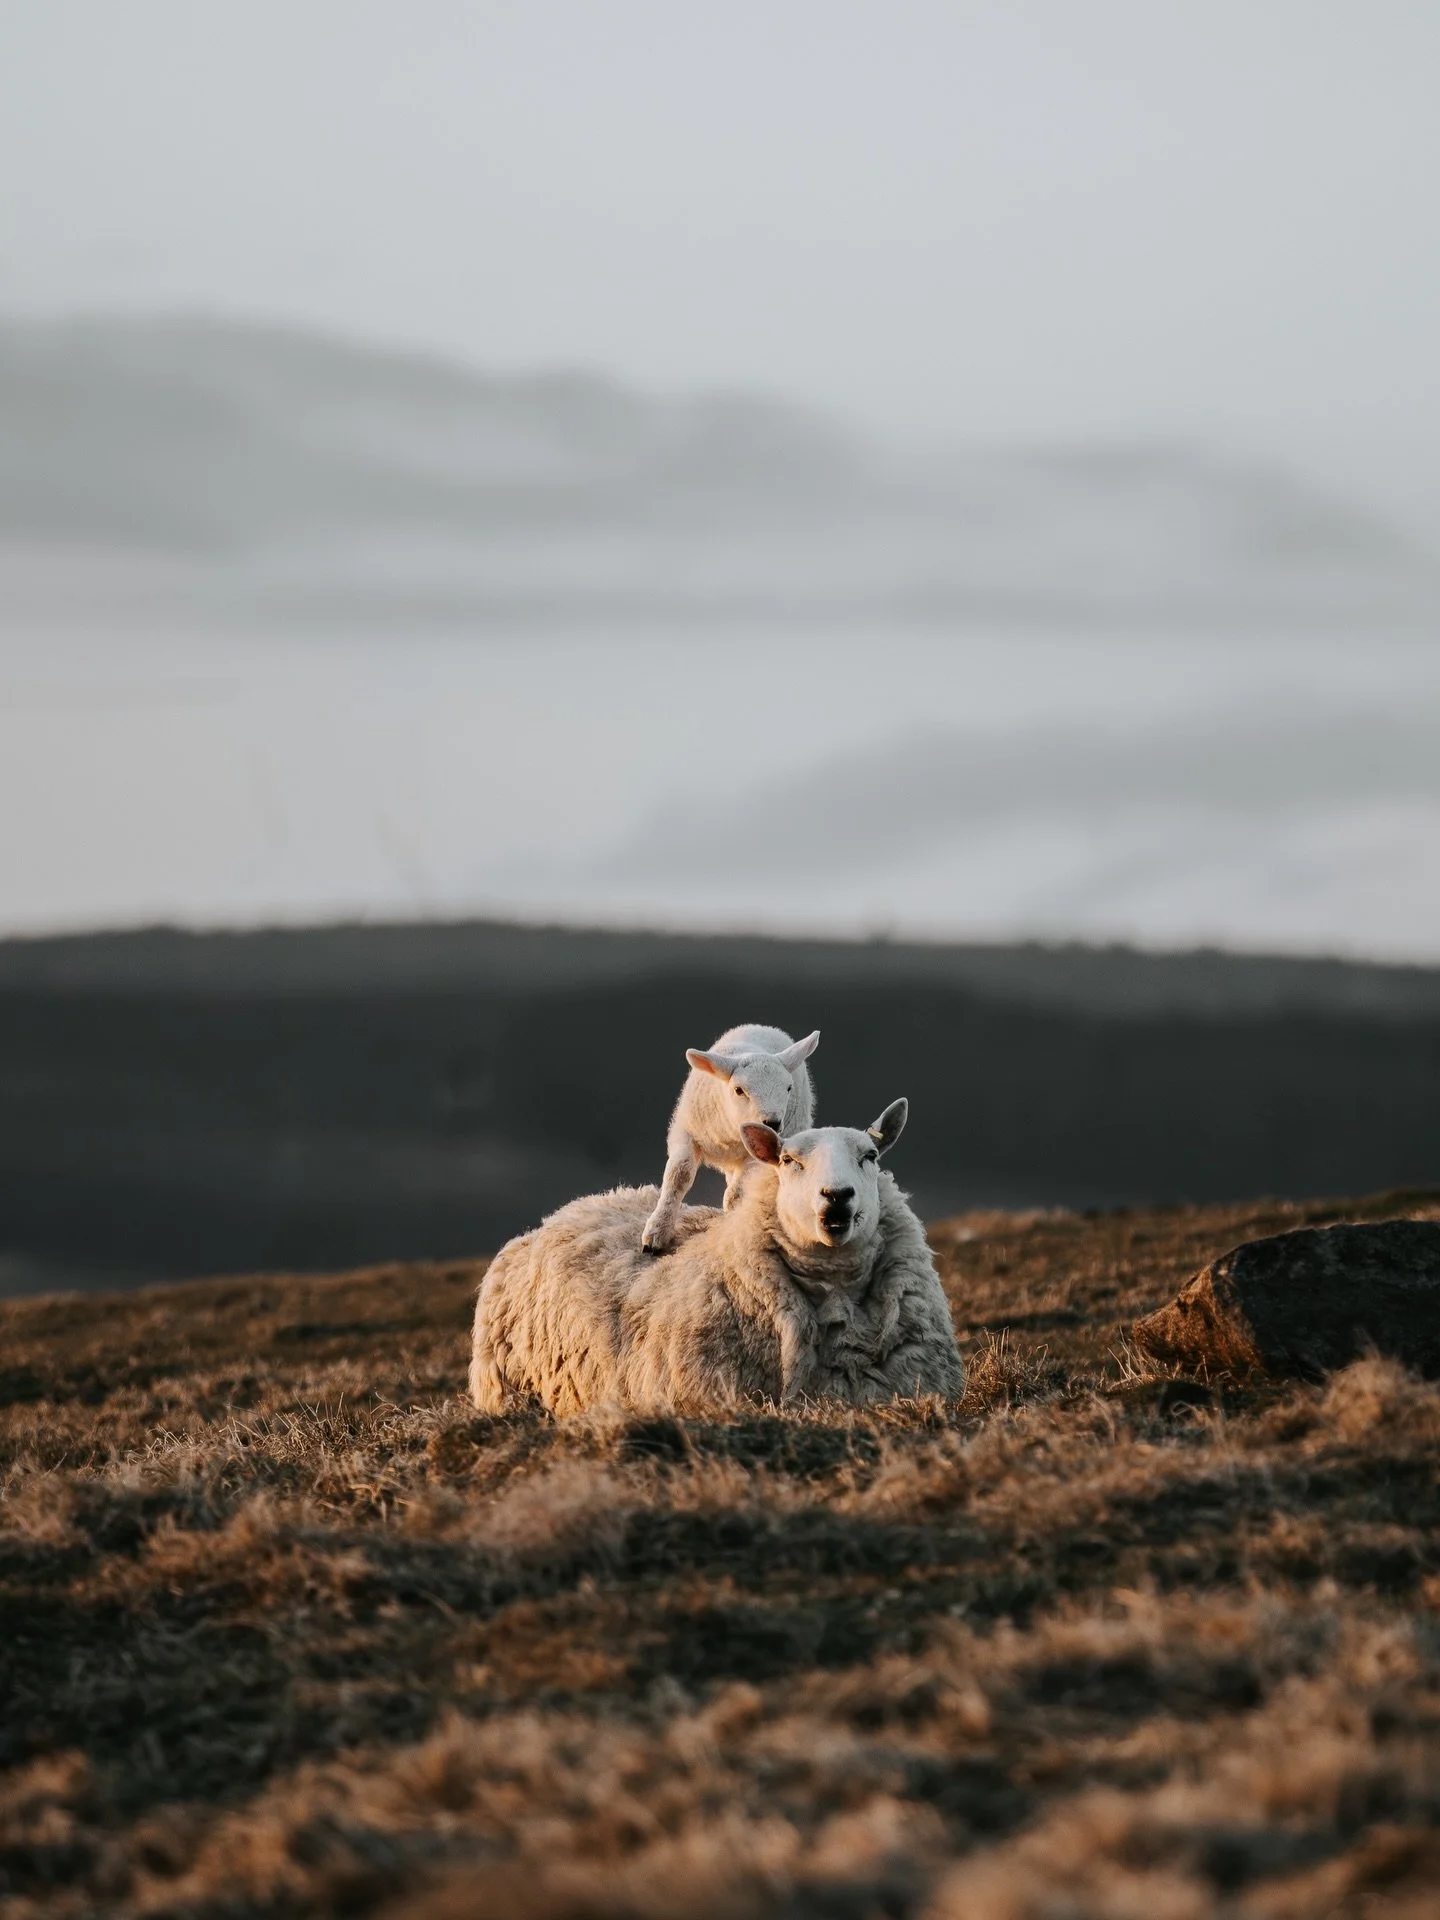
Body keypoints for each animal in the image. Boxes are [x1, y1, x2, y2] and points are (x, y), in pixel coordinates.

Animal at [640, 1023, 820, 1254]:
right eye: (739, 1090)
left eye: (788, 1088)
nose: (772, 1123)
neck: (730, 1134)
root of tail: (762, 1027)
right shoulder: (686, 1133)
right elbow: (678, 1176)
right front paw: (656, 1231)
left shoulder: (757, 1152)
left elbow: (735, 1195)